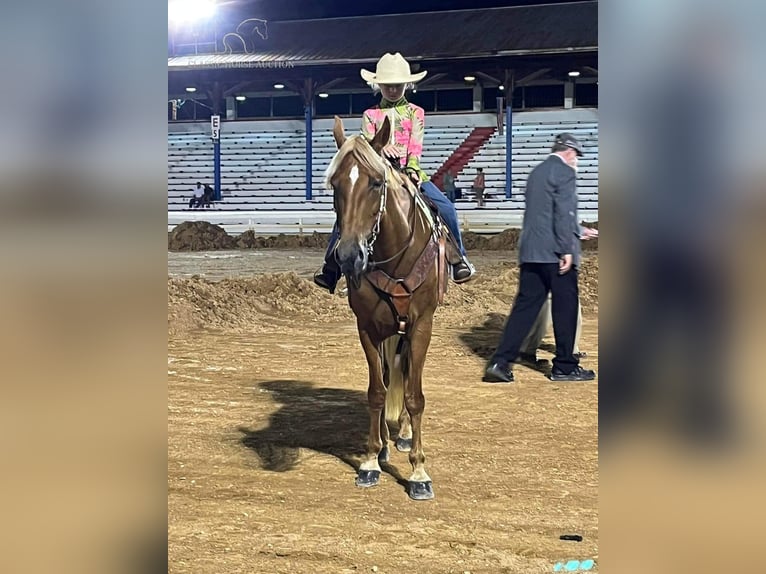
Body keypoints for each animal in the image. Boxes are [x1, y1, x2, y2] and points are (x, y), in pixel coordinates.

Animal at [326, 116, 456, 500]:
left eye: (376, 182)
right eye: (335, 183)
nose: (349, 256)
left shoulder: (421, 325)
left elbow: (414, 396)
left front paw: (419, 472)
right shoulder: (368, 327)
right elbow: (377, 392)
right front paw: (371, 459)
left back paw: (404, 437)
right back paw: (385, 444)